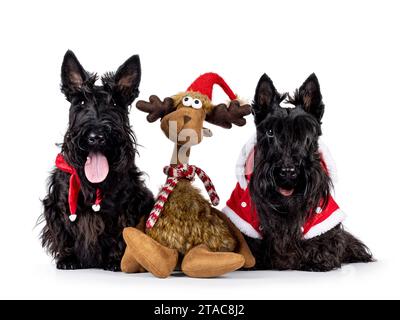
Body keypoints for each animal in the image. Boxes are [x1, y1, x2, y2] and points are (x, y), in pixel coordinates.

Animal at [40, 50, 153, 270]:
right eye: (82, 103)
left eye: (115, 104)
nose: (97, 136)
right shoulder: (58, 204)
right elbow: (65, 230)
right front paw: (68, 258)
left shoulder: (129, 203)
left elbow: (121, 232)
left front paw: (116, 260)